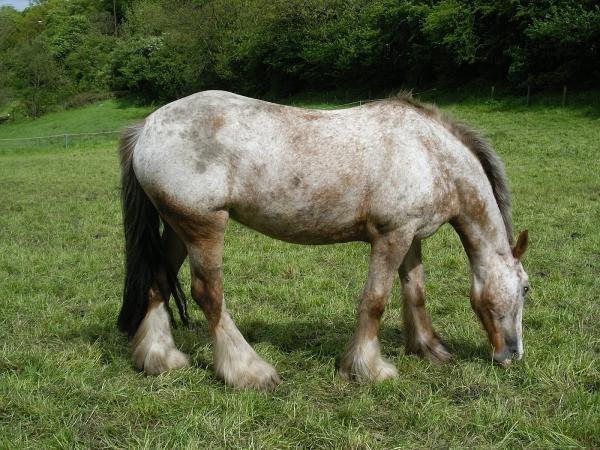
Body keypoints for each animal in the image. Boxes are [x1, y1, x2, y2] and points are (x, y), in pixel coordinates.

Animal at [118, 89, 528, 388]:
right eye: (526, 288)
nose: (513, 354)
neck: (430, 154)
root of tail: (147, 126)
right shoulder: (391, 236)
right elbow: (375, 301)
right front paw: (368, 369)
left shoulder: (410, 236)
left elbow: (416, 293)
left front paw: (428, 348)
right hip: (205, 227)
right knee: (208, 294)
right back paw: (248, 371)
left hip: (177, 228)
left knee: (158, 280)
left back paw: (160, 360)